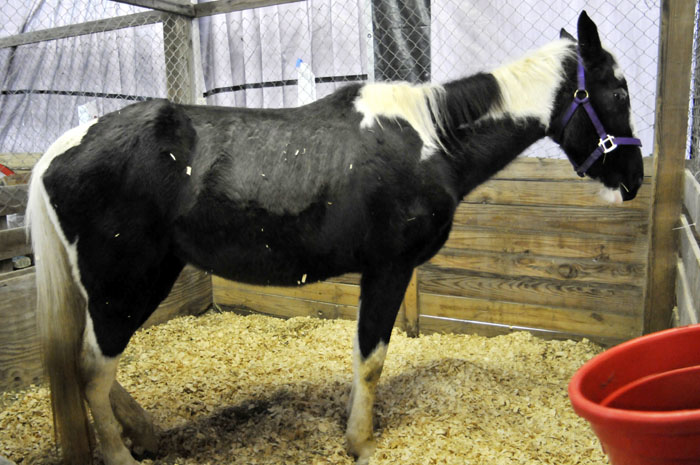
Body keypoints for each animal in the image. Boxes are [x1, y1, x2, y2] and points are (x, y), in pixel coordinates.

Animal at [26, 11, 643, 465]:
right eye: (618, 91)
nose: (633, 179)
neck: (430, 139)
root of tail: (60, 149)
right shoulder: (389, 267)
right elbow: (371, 357)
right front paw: (360, 441)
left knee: (90, 363)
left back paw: (146, 433)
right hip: (125, 283)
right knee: (93, 369)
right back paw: (121, 452)